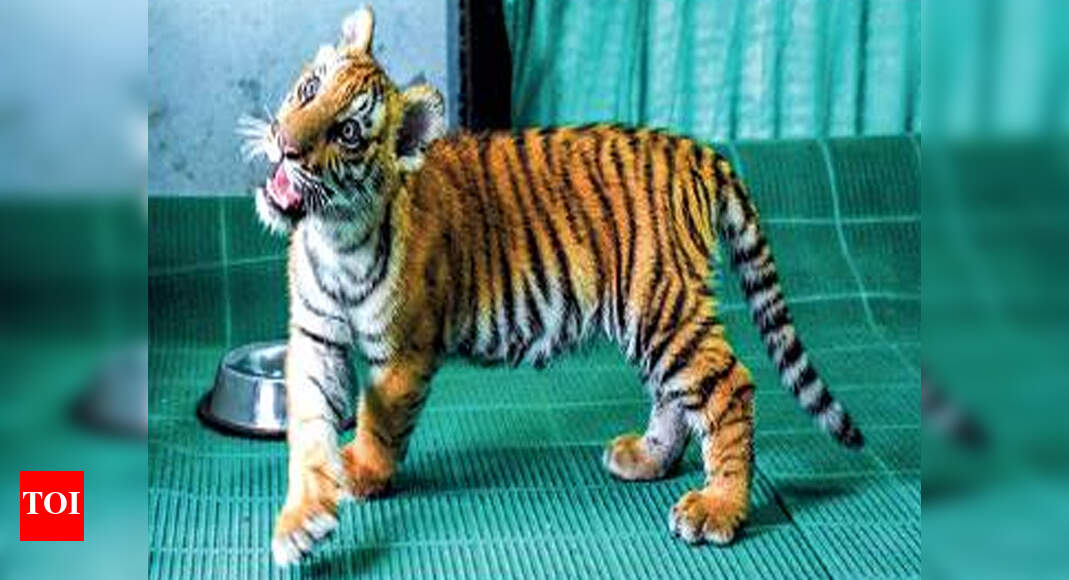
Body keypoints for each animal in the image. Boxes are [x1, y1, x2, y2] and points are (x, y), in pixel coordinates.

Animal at [238, 7, 864, 567]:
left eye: (347, 132)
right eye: (310, 88)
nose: (283, 142)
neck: (333, 233)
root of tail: (696, 151)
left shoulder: (404, 350)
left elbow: (379, 421)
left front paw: (361, 472)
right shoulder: (314, 337)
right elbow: (308, 428)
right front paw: (300, 522)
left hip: (662, 304)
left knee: (728, 385)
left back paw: (718, 508)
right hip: (650, 316)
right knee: (673, 394)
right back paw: (646, 459)